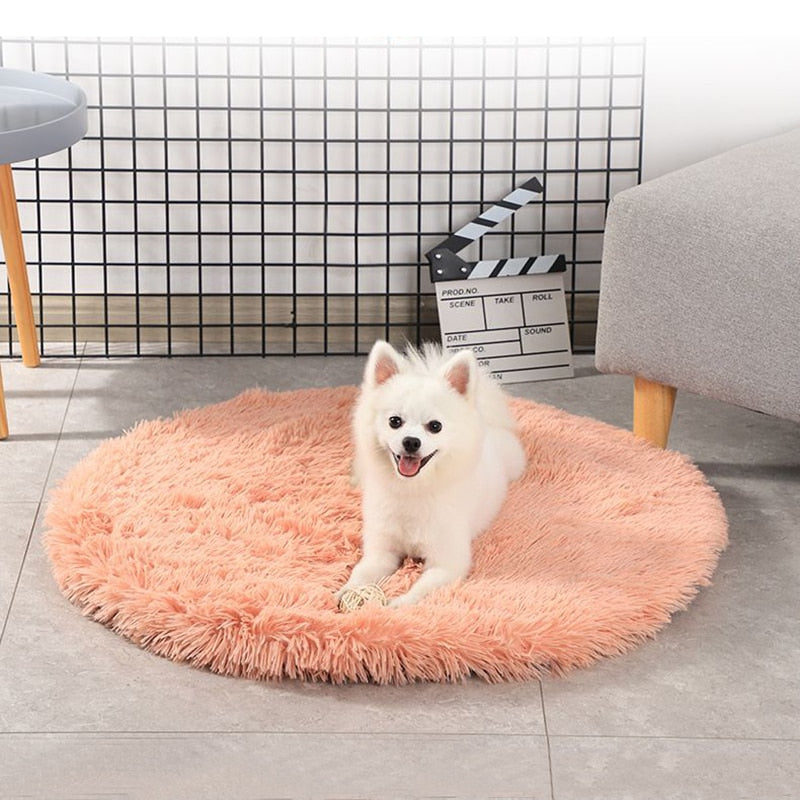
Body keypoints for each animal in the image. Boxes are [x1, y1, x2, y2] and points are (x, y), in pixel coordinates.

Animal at [340, 340, 528, 608]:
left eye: (435, 426)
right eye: (394, 421)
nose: (411, 441)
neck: (413, 489)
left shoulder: (447, 563)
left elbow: (422, 588)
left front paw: (399, 604)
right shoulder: (381, 551)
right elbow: (361, 572)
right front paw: (347, 592)